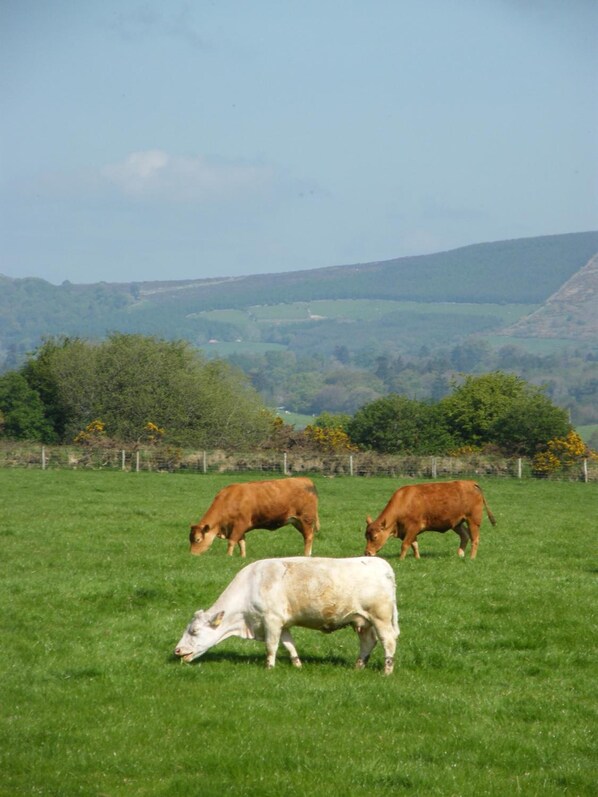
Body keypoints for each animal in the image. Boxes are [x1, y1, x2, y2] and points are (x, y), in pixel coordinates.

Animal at [174, 557, 399, 674]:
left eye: (194, 631)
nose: (177, 650)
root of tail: (381, 563)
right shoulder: (283, 624)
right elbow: (289, 644)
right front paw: (297, 664)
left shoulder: (271, 620)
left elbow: (271, 646)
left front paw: (269, 667)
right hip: (362, 621)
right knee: (368, 642)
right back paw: (358, 666)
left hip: (380, 618)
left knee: (388, 641)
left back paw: (387, 670)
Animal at [189, 477, 320, 557]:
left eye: (197, 539)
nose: (191, 555)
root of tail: (306, 480)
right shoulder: (238, 528)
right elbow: (242, 543)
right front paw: (242, 556)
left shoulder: (240, 525)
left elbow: (232, 541)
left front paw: (228, 556)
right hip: (296, 521)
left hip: (306, 519)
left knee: (308, 537)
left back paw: (306, 555)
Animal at [364, 479, 496, 560]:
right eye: (366, 536)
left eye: (374, 537)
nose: (367, 553)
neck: (404, 501)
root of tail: (471, 483)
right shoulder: (409, 531)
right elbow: (414, 545)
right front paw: (417, 558)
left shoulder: (413, 527)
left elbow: (405, 544)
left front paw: (401, 559)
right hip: (457, 523)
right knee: (465, 536)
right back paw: (460, 554)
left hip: (473, 520)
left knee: (475, 539)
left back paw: (472, 557)